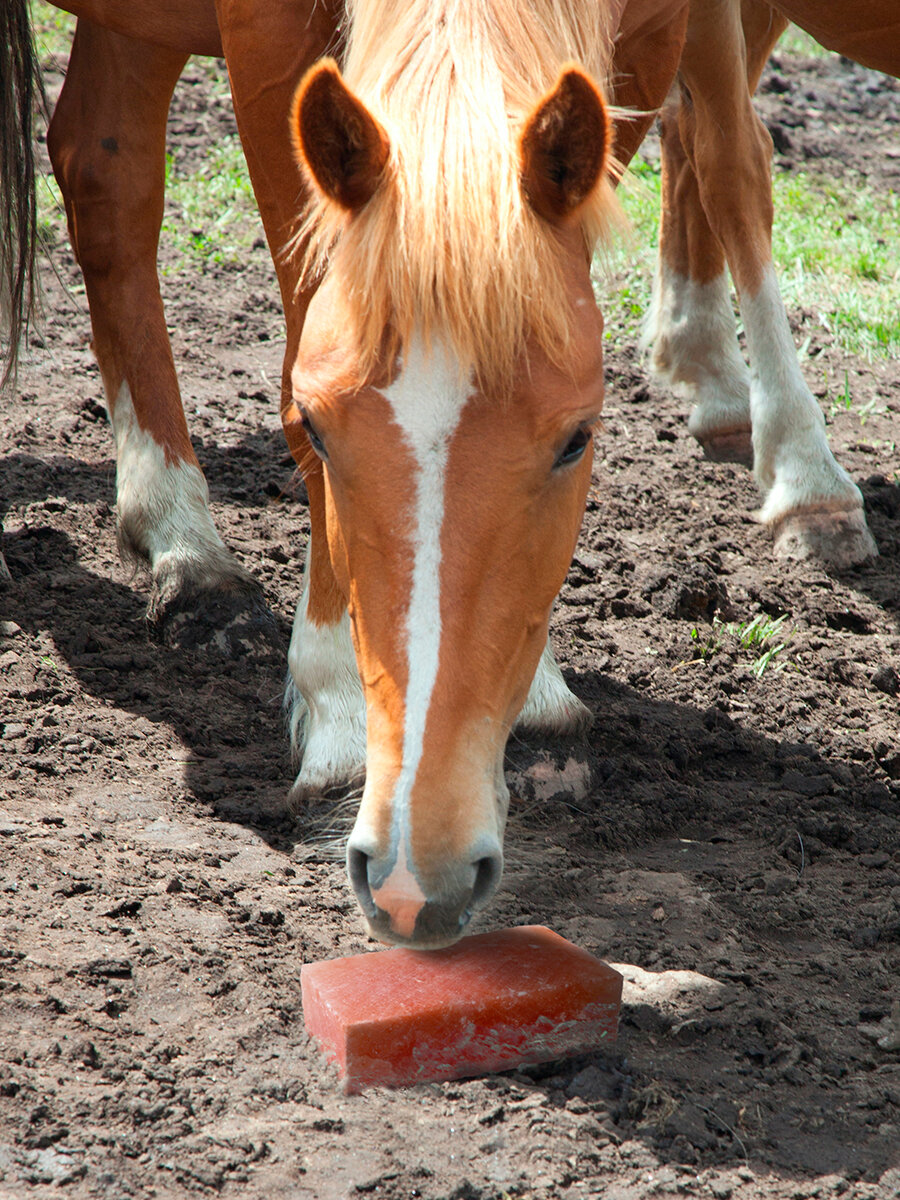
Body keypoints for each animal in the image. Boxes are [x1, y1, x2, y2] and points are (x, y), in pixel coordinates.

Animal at [643, 0, 897, 568]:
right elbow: (735, 165)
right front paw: (810, 490)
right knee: (729, 159)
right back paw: (807, 475)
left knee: (684, 129)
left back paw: (717, 379)